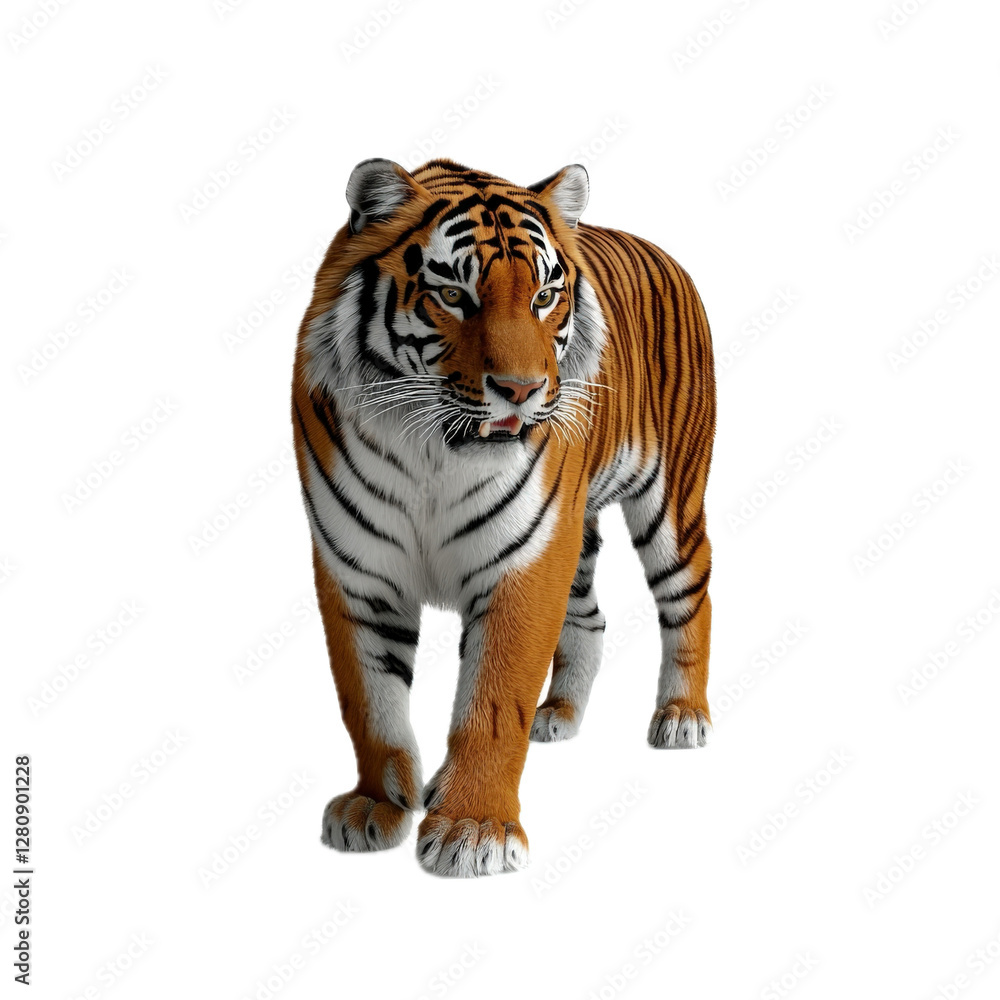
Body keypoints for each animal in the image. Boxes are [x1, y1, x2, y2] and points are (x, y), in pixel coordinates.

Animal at [291, 157, 716, 878]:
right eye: (453, 295)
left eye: (544, 296)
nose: (521, 391)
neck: (430, 448)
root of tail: (664, 252)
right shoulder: (357, 568)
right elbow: (368, 699)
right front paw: (375, 807)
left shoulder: (524, 561)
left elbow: (491, 699)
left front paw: (472, 831)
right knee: (591, 619)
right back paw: (559, 714)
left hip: (670, 500)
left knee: (692, 594)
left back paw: (683, 718)